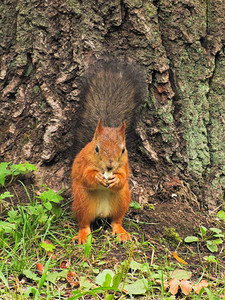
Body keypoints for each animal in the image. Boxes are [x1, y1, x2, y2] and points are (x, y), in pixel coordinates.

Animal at [71, 58, 145, 244]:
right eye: (97, 148)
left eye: (123, 150)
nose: (110, 166)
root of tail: (101, 214)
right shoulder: (84, 163)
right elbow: (86, 176)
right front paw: (97, 177)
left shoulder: (125, 166)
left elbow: (124, 177)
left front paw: (115, 179)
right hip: (83, 201)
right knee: (84, 223)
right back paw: (83, 235)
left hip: (123, 199)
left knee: (116, 220)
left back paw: (121, 232)